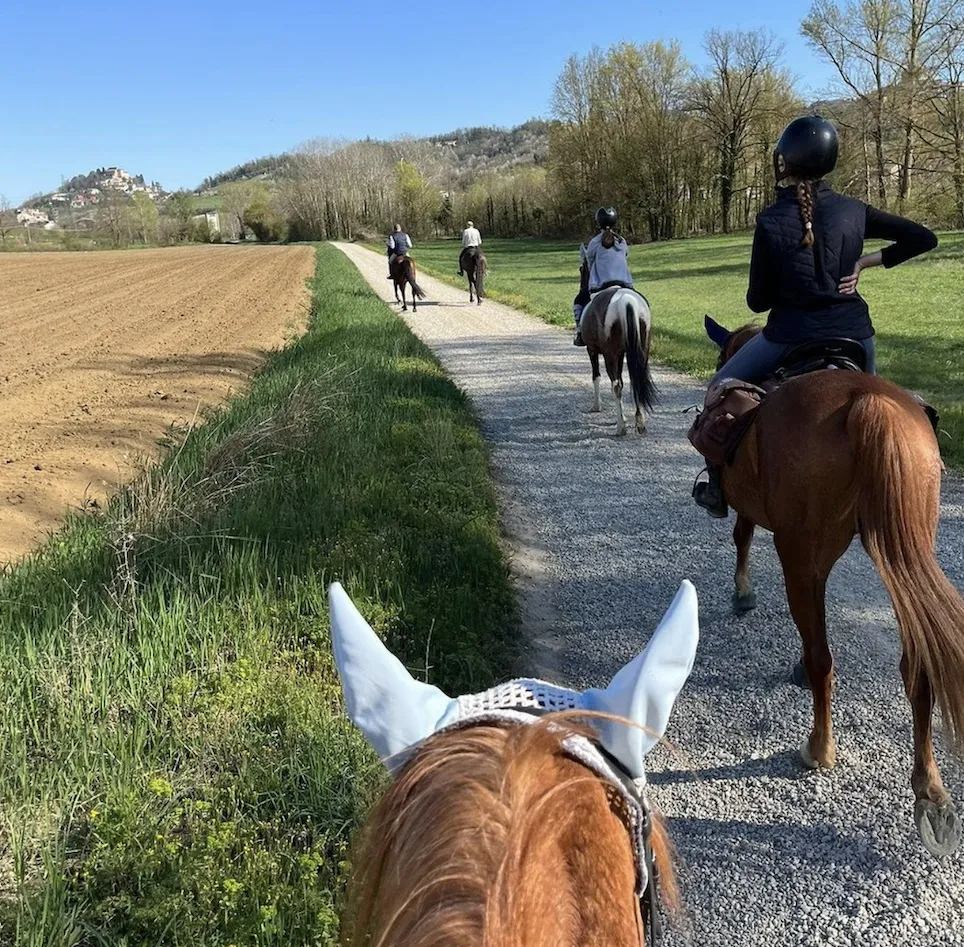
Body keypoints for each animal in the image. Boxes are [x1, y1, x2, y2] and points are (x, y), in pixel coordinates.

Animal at [578, 250, 657, 436]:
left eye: (581, 269)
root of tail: (626, 301)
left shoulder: (593, 350)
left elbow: (596, 377)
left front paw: (597, 406)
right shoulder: (621, 353)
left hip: (609, 354)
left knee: (617, 385)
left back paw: (621, 427)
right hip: (641, 350)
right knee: (636, 381)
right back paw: (640, 422)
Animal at [701, 317, 964, 857]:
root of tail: (866, 402)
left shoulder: (761, 519)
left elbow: (741, 535)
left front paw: (742, 593)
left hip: (802, 555)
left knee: (824, 657)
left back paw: (819, 748)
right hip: (904, 551)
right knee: (917, 660)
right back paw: (930, 792)